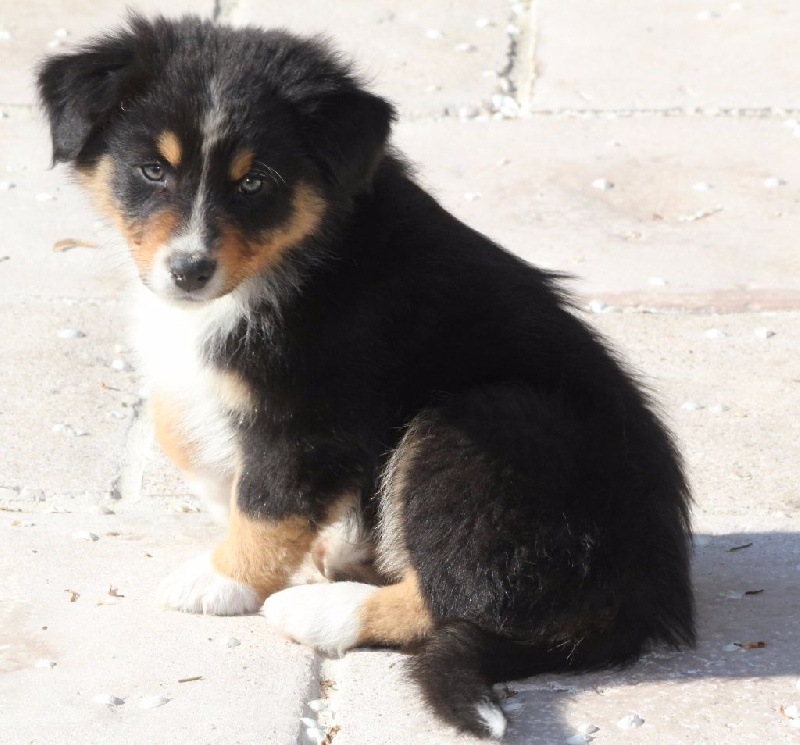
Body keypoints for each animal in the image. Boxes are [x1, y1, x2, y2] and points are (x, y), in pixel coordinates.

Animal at [38, 15, 694, 739]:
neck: (298, 253)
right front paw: (241, 503)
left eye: (255, 182)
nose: (188, 271)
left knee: (459, 599)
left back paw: (319, 609)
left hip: (476, 431)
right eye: (151, 170)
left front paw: (223, 579)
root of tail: (643, 595)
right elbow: (179, 426)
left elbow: (267, 499)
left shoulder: (314, 413)